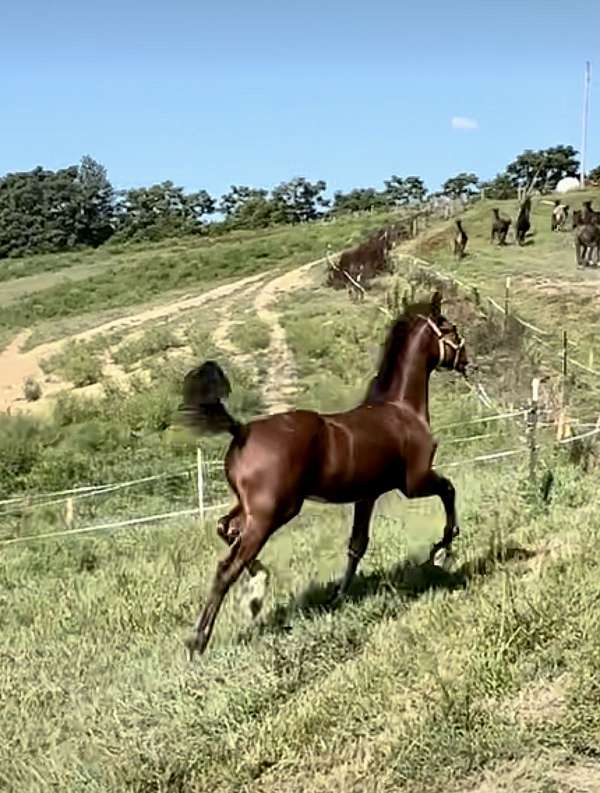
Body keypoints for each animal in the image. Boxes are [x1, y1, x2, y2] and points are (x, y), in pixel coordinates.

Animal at [178, 290, 468, 656]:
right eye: (451, 328)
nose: (466, 360)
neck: (401, 410)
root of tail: (241, 430)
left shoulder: (367, 495)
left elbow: (357, 545)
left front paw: (340, 597)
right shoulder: (414, 482)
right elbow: (449, 489)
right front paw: (443, 551)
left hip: (251, 508)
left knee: (225, 529)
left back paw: (256, 592)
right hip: (273, 513)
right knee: (226, 567)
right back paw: (200, 640)